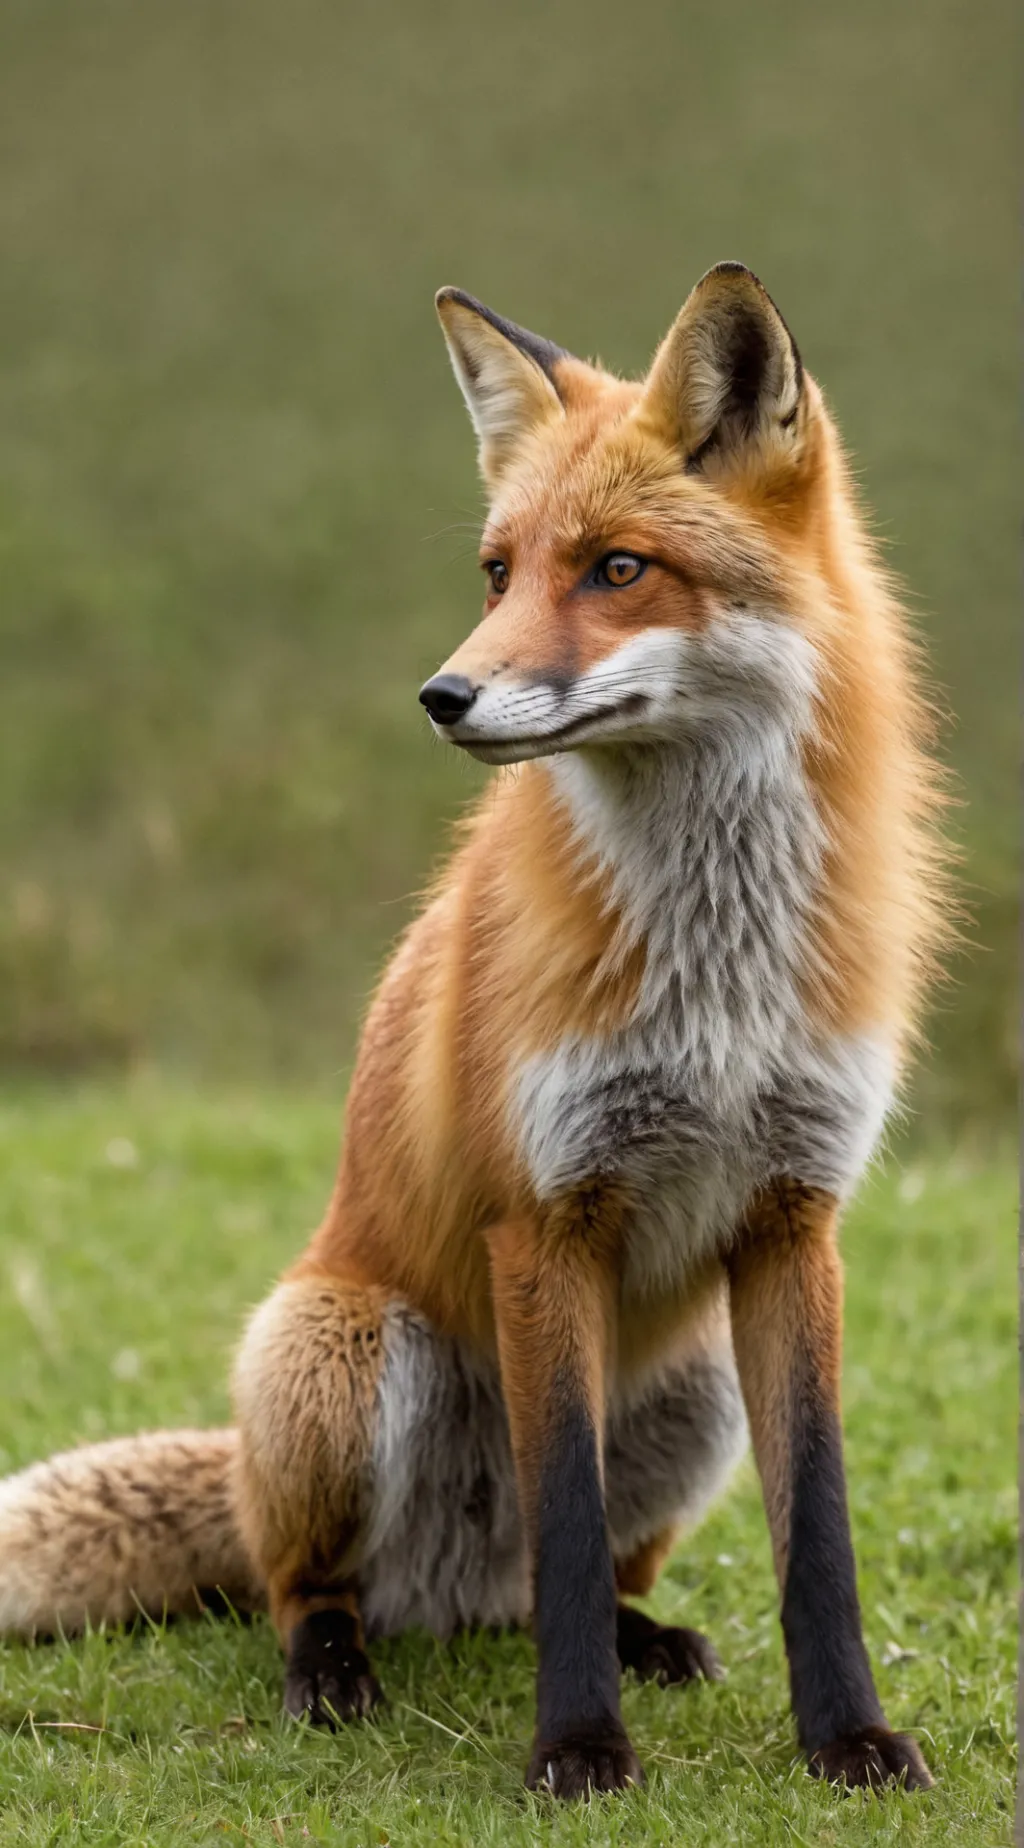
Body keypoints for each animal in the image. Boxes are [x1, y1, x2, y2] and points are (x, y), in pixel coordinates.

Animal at [0, 263, 948, 1799]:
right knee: (322, 1586)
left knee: (576, 1578)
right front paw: (576, 1751)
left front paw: (848, 1740)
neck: (714, 966)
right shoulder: (542, 1217)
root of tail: (446, 1591)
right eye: (498, 573)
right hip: (337, 1350)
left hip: (695, 1392)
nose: (442, 696)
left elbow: (818, 1535)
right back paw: (334, 1675)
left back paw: (646, 1642)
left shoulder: (796, 1218)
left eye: (617, 570)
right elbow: (562, 1516)